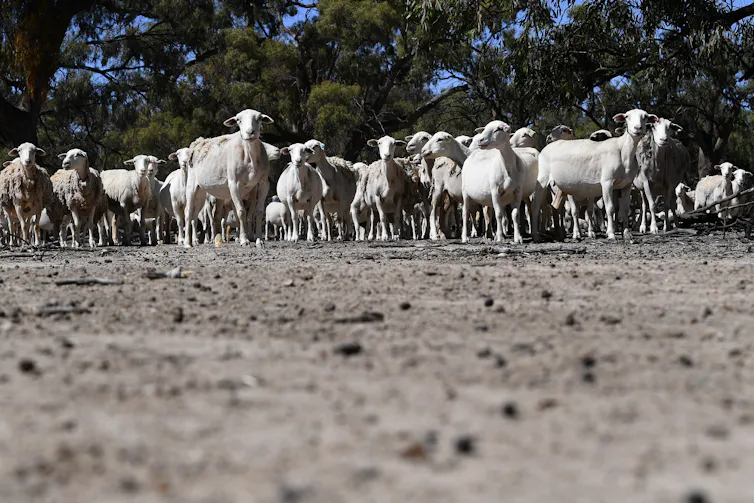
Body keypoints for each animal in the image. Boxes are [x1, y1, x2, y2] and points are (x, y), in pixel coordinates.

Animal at [184, 109, 273, 247]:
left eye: (259, 119)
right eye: (238, 120)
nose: (250, 132)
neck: (250, 156)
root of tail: (198, 142)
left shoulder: (264, 183)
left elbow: (258, 212)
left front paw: (259, 240)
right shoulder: (234, 184)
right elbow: (241, 212)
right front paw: (244, 240)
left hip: (203, 193)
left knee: (209, 215)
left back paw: (215, 240)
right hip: (192, 185)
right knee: (188, 213)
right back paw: (187, 243)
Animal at [533, 110, 658, 242]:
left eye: (645, 117)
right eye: (627, 116)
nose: (637, 128)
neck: (623, 151)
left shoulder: (626, 185)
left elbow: (624, 209)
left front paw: (627, 234)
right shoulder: (607, 182)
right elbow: (610, 209)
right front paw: (611, 233)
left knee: (556, 208)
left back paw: (562, 234)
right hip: (542, 179)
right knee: (536, 208)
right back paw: (537, 235)